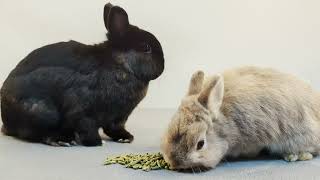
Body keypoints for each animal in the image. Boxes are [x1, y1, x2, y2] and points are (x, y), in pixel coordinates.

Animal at [0, 2, 164, 146]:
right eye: (146, 47)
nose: (162, 67)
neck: (120, 64)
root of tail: (6, 121)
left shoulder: (119, 117)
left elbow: (114, 128)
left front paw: (125, 138)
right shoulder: (82, 109)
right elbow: (86, 126)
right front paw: (97, 142)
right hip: (41, 112)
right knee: (38, 133)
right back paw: (62, 140)